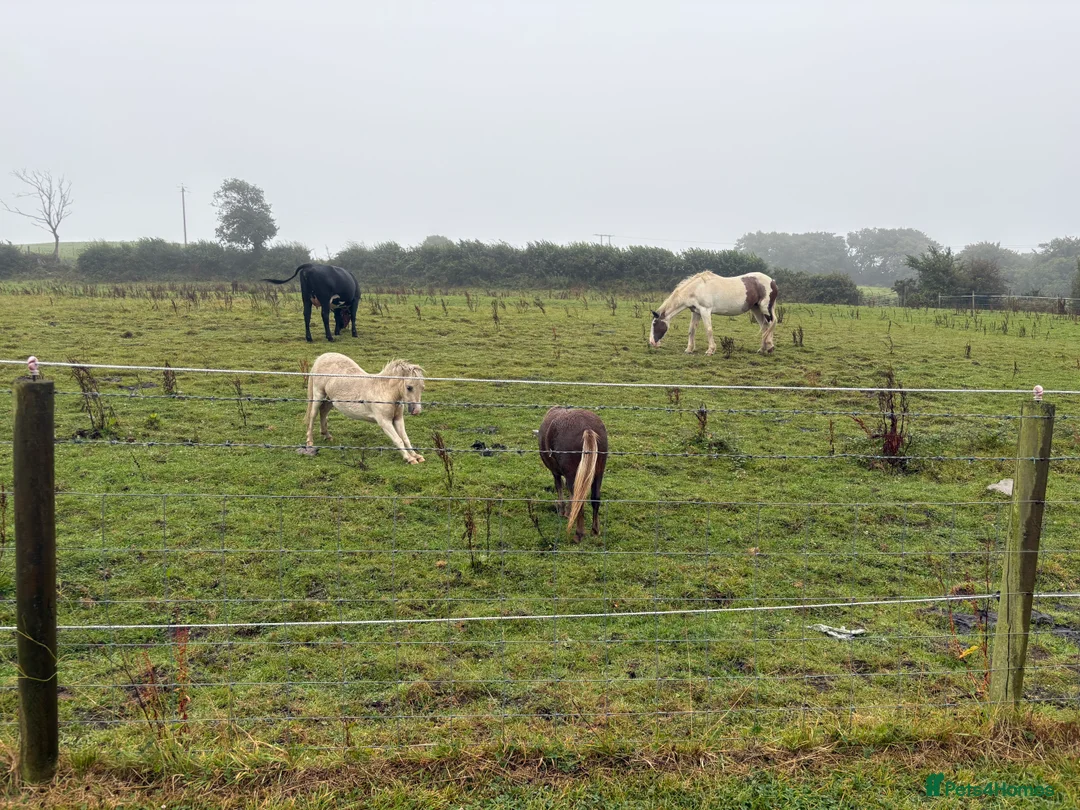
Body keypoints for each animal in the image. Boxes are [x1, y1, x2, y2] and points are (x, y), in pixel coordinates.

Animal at [538, 407, 608, 540]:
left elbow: (560, 488)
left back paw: (579, 533)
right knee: (595, 499)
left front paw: (563, 511)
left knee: (579, 500)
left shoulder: (556, 473)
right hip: (598, 473)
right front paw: (569, 512)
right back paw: (595, 530)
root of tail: (587, 428)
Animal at [649, 271, 778, 355]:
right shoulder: (696, 312)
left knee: (770, 324)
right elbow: (691, 330)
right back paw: (762, 349)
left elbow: (709, 330)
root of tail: (772, 281)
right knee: (765, 327)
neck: (697, 288)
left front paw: (710, 350)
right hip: (756, 309)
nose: (652, 343)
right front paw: (689, 349)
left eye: (655, 324)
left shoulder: (705, 311)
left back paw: (770, 347)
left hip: (765, 308)